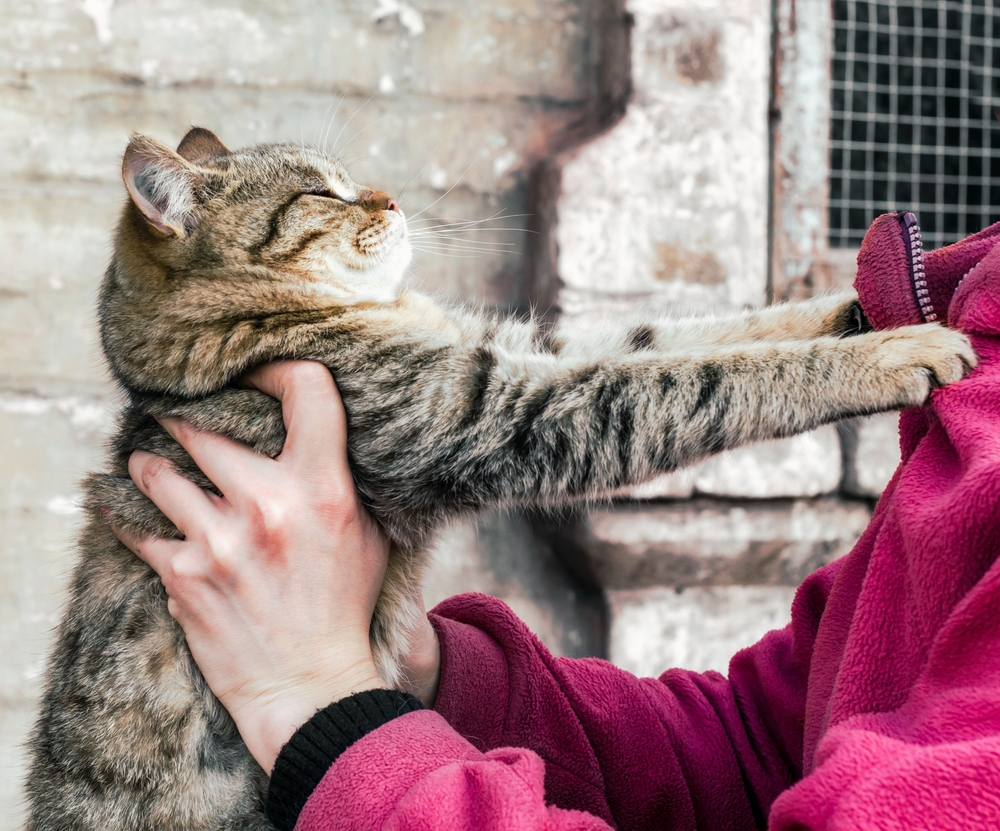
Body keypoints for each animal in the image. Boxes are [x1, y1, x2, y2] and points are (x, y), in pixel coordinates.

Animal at [25, 127, 976, 828]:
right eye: (320, 194)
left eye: (350, 182)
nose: (391, 198)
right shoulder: (502, 407)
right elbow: (699, 376)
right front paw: (891, 350)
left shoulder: (521, 350)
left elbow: (694, 333)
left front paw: (864, 302)